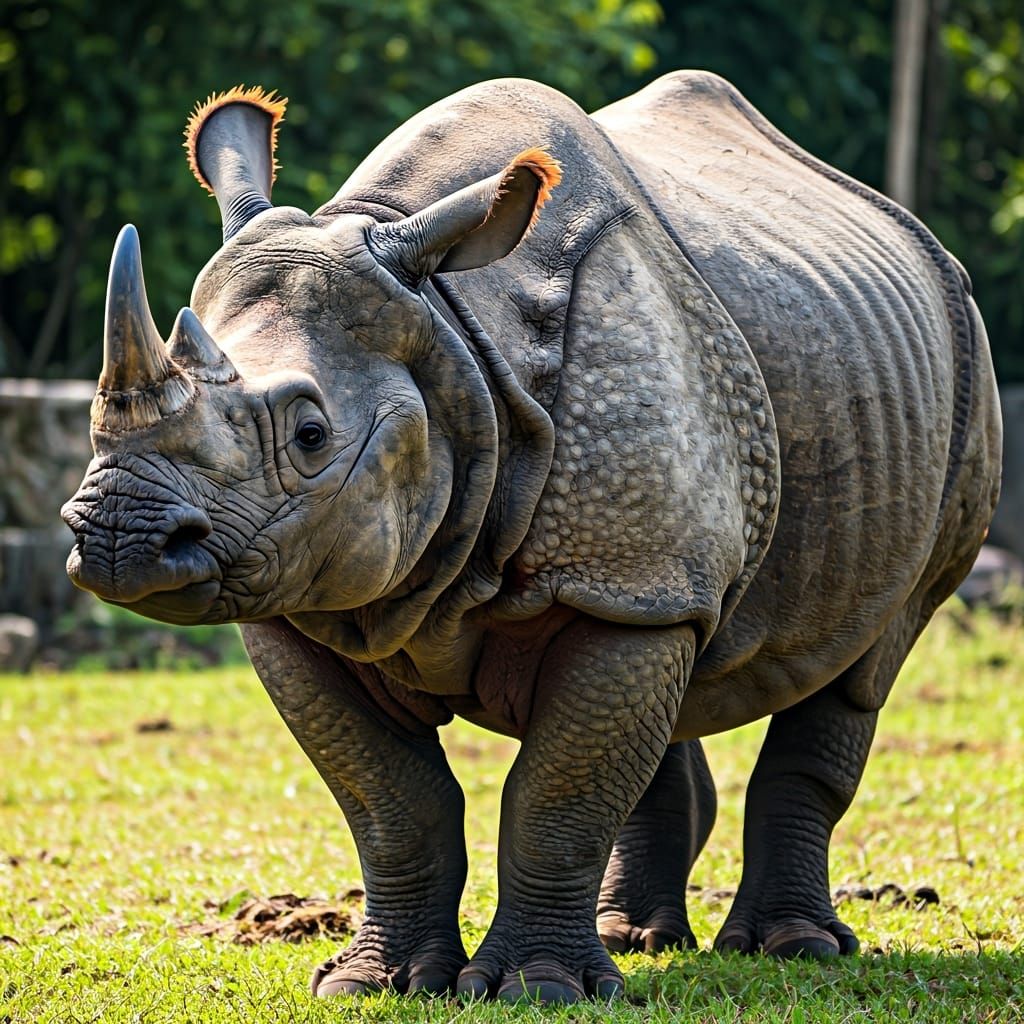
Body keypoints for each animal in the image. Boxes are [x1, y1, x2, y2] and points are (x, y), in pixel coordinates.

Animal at [62, 72, 1001, 1003]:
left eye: (311, 435)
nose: (120, 539)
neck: (450, 326)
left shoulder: (618, 565)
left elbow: (556, 796)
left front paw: (539, 989)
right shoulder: (302, 599)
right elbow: (391, 801)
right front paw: (377, 984)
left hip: (962, 371)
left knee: (862, 661)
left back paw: (789, 950)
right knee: (681, 661)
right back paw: (639, 939)